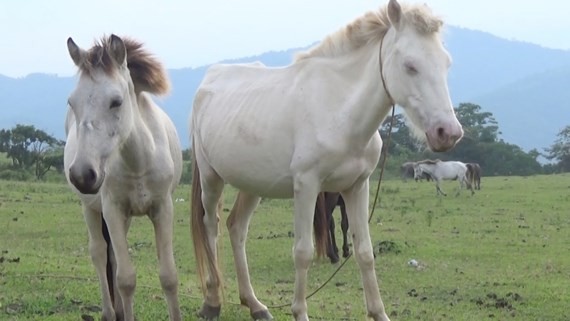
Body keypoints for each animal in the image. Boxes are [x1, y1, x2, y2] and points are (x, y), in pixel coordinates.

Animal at [65, 35, 183, 320]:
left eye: (116, 101)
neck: (138, 161)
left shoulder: (163, 208)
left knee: (113, 257)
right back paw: (110, 312)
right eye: (72, 103)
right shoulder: (113, 209)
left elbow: (169, 277)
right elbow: (126, 279)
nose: (82, 174)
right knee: (99, 253)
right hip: (92, 209)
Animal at [187, 1, 462, 318]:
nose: (448, 133)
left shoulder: (357, 187)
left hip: (252, 185)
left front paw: (378, 313)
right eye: (410, 65)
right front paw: (299, 311)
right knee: (211, 226)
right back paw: (212, 302)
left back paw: (255, 305)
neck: (340, 109)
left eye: (446, 63)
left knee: (236, 228)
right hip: (211, 178)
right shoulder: (307, 186)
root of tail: (209, 81)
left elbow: (365, 252)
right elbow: (303, 253)